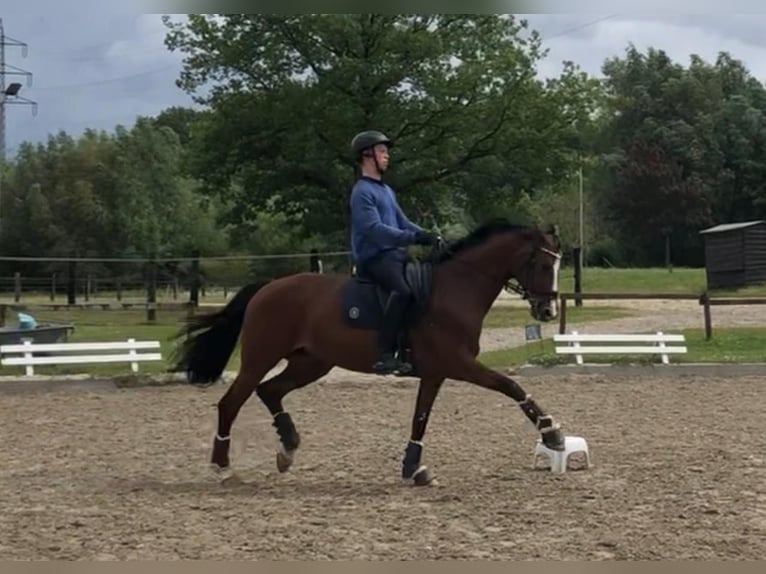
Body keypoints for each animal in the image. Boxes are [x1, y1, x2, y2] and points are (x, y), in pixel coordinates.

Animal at [170, 219, 564, 486]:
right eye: (545, 265)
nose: (547, 312)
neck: (456, 289)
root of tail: (268, 287)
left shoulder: (436, 372)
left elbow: (420, 419)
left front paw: (414, 469)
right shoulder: (460, 364)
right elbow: (510, 386)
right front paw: (552, 433)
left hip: (312, 362)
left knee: (270, 390)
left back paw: (288, 449)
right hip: (260, 359)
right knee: (231, 403)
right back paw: (222, 467)